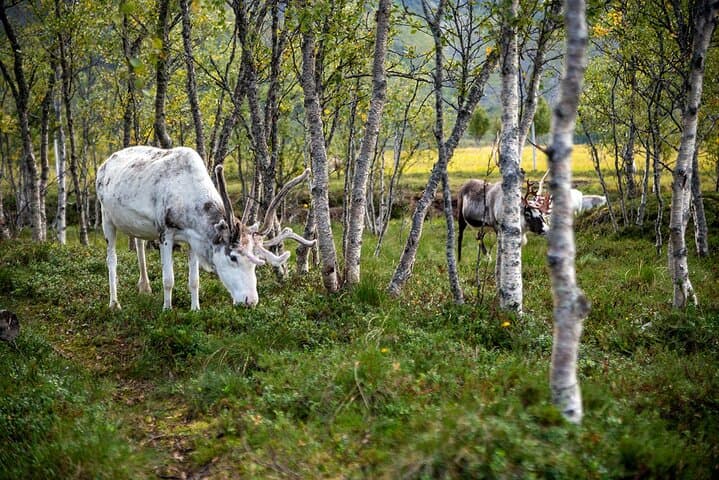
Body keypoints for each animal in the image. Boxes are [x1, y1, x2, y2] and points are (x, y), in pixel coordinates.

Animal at [96, 146, 315, 310]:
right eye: (233, 257)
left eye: (256, 262)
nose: (250, 301)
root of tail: (103, 164)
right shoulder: (165, 232)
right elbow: (168, 278)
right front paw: (167, 309)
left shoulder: (193, 239)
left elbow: (195, 280)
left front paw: (195, 308)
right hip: (106, 216)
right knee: (111, 259)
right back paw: (114, 303)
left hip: (138, 225)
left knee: (139, 243)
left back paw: (144, 286)